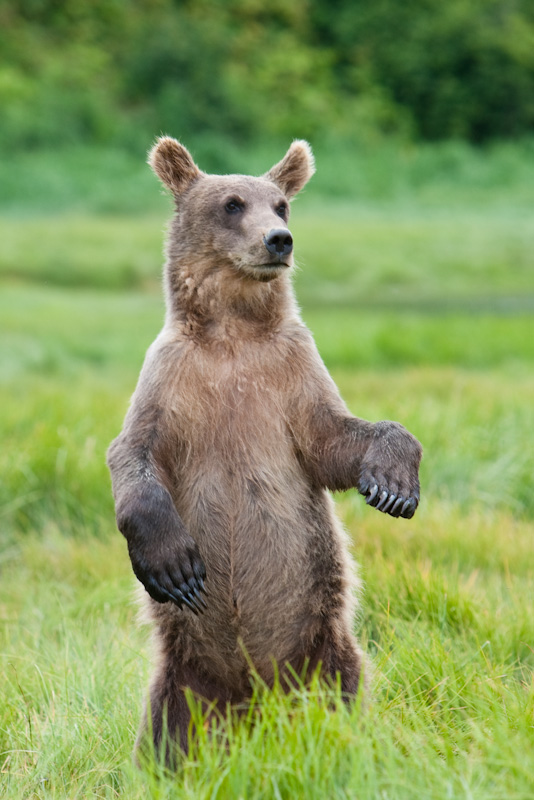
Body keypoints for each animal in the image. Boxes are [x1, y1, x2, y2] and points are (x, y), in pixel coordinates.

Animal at [108, 138, 422, 764]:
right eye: (232, 204)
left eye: (282, 204)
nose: (279, 239)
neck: (233, 332)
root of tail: (253, 706)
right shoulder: (173, 382)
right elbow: (133, 454)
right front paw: (175, 565)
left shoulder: (288, 375)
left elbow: (334, 440)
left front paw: (393, 485)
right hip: (183, 674)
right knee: (167, 722)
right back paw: (167, 763)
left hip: (322, 646)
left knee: (342, 684)